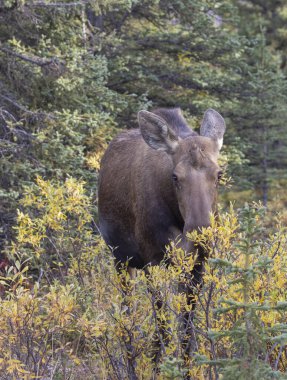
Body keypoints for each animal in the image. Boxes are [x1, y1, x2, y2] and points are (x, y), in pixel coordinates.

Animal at [99, 107, 227, 372]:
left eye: (219, 174)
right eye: (175, 176)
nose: (200, 229)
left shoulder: (197, 264)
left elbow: (187, 332)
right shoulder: (153, 261)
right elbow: (162, 329)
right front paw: (158, 369)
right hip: (120, 259)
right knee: (127, 318)